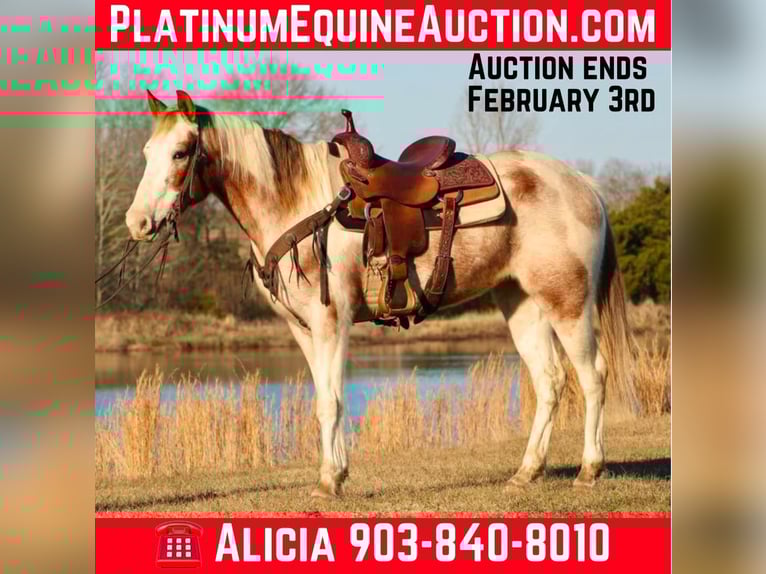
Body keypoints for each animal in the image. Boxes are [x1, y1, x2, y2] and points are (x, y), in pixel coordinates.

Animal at [124, 90, 637, 497]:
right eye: (147, 151)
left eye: (181, 152)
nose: (137, 222)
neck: (297, 203)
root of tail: (582, 184)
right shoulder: (303, 330)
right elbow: (324, 399)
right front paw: (336, 474)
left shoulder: (331, 323)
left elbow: (330, 402)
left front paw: (329, 482)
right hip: (521, 303)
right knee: (549, 381)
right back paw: (527, 472)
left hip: (568, 302)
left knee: (592, 375)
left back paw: (590, 469)